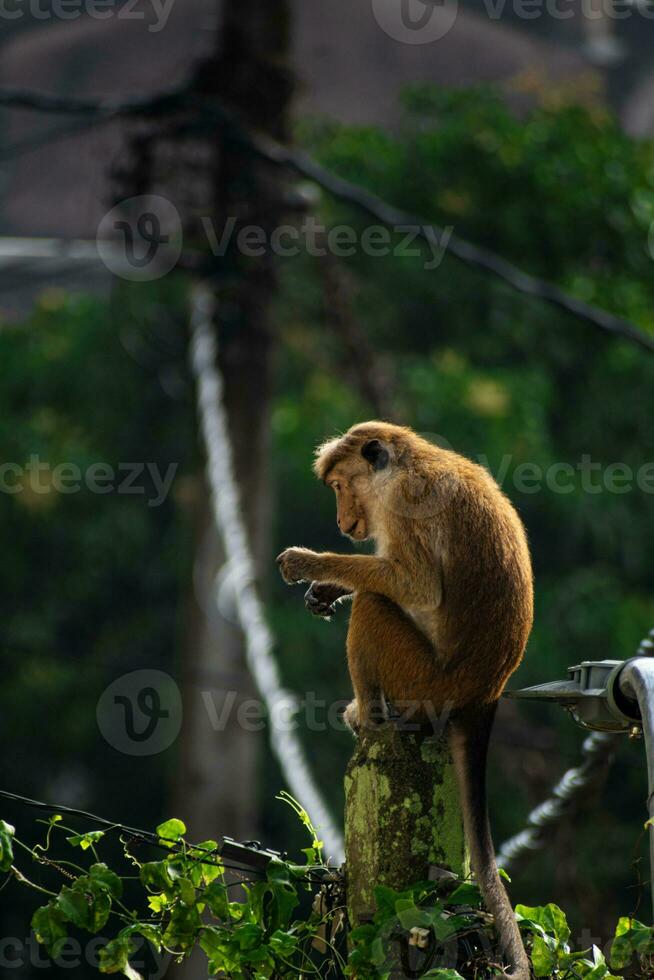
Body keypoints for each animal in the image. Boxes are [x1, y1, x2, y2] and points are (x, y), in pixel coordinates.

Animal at [280, 422, 536, 980]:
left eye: (339, 486)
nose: (341, 520)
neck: (407, 463)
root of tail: (483, 696)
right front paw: (325, 587)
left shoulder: (404, 502)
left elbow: (413, 585)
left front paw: (312, 564)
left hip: (421, 682)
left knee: (375, 605)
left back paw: (370, 715)